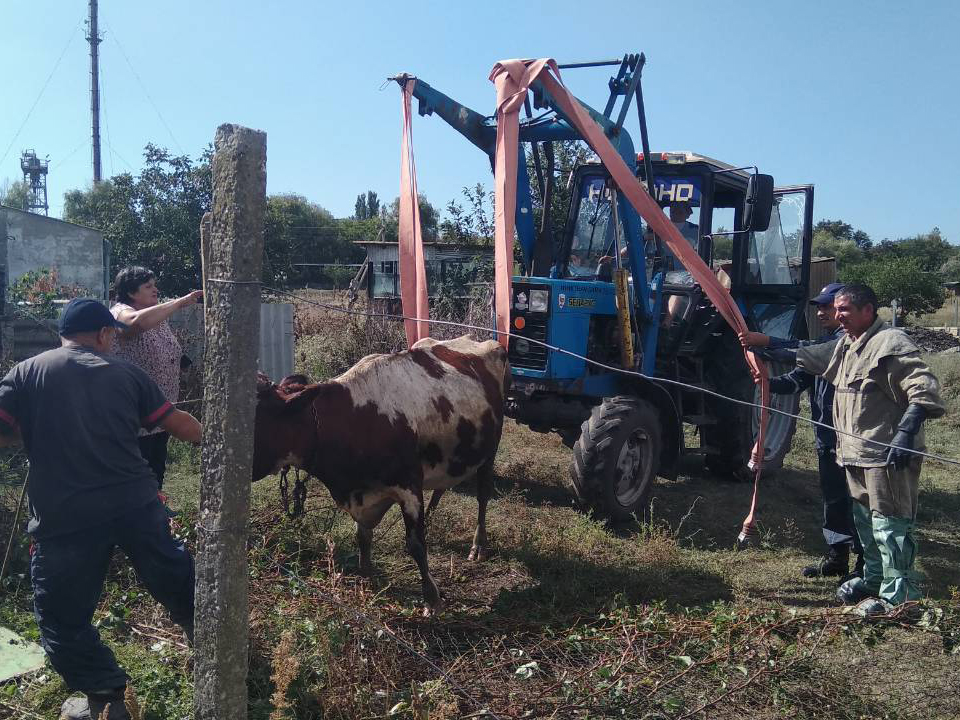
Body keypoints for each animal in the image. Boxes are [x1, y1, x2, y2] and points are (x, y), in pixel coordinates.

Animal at [253, 334, 510, 612]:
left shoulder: (409, 487)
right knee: (442, 486)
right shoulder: (362, 495)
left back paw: (479, 544)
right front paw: (367, 578)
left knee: (483, 495)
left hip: (490, 451)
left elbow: (415, 544)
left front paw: (431, 597)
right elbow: (363, 538)